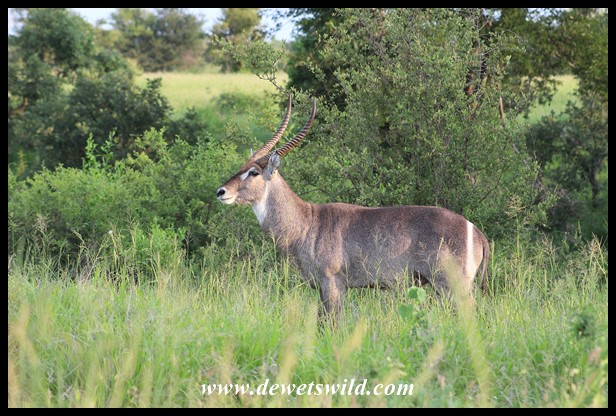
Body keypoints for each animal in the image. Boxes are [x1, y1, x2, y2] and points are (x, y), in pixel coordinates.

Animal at [216, 94, 490, 320]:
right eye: (241, 167)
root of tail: (476, 232)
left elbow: (331, 324)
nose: (221, 191)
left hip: (453, 286)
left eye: (253, 172)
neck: (306, 222)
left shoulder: (332, 283)